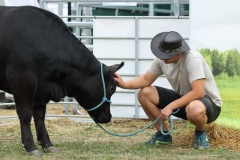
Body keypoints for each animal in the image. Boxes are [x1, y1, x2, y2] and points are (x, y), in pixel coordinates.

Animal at [0, 6, 124, 155]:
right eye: (112, 87)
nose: (108, 117)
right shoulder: (23, 80)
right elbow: (26, 113)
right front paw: (31, 146)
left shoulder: (41, 88)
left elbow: (39, 115)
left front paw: (48, 144)